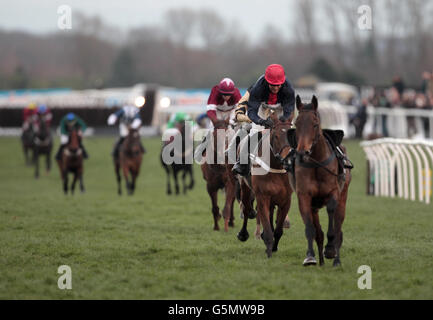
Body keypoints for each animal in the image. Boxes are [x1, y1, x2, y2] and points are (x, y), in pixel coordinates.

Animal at [236, 112, 294, 258]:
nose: (288, 160)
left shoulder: (286, 200)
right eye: (276, 136)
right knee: (246, 208)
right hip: (245, 186)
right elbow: (267, 229)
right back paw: (243, 233)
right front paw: (268, 251)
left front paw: (274, 247)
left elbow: (278, 230)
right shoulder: (262, 197)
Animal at [288, 95, 350, 268]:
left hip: (343, 196)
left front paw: (330, 249)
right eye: (297, 123)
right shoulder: (304, 196)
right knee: (318, 232)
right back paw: (321, 261)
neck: (316, 164)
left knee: (338, 226)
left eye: (315, 124)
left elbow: (331, 215)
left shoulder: (333, 193)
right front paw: (310, 257)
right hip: (314, 206)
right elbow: (311, 229)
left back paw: (336, 259)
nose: (302, 152)